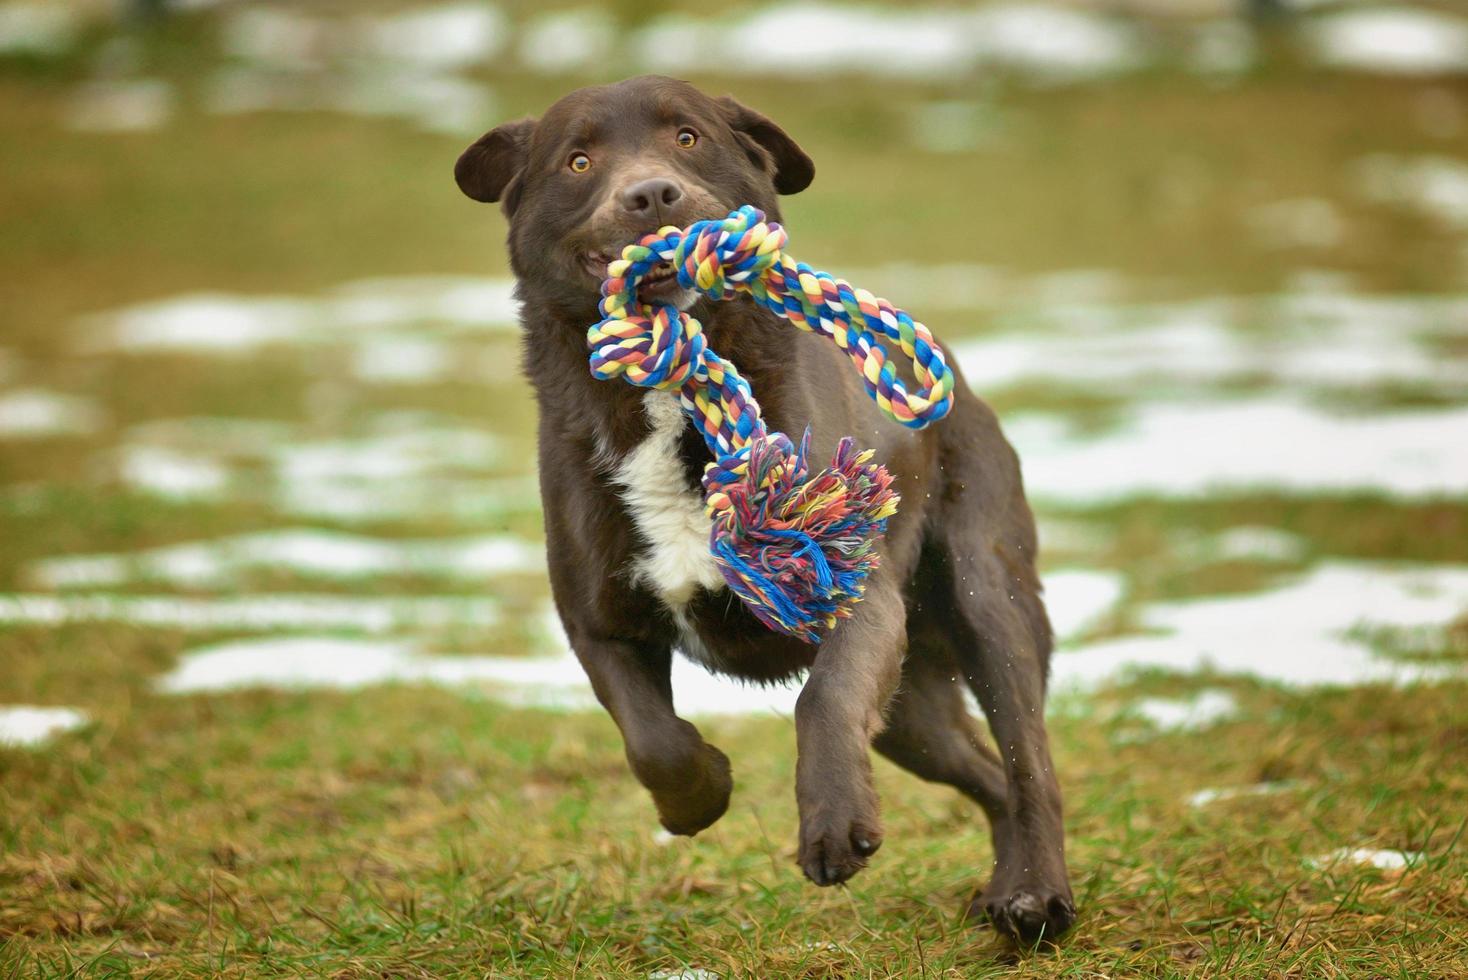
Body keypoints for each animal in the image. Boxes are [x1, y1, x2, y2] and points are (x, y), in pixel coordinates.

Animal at [452, 74, 1074, 938]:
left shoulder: (855, 593)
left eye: (687, 138)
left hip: (987, 592)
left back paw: (1038, 894)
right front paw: (700, 793)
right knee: (985, 768)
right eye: (577, 160)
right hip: (911, 707)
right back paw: (1003, 890)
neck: (675, 398)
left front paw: (834, 825)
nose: (651, 194)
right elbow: (652, 739)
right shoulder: (598, 622)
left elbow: (824, 698)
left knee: (1028, 758)